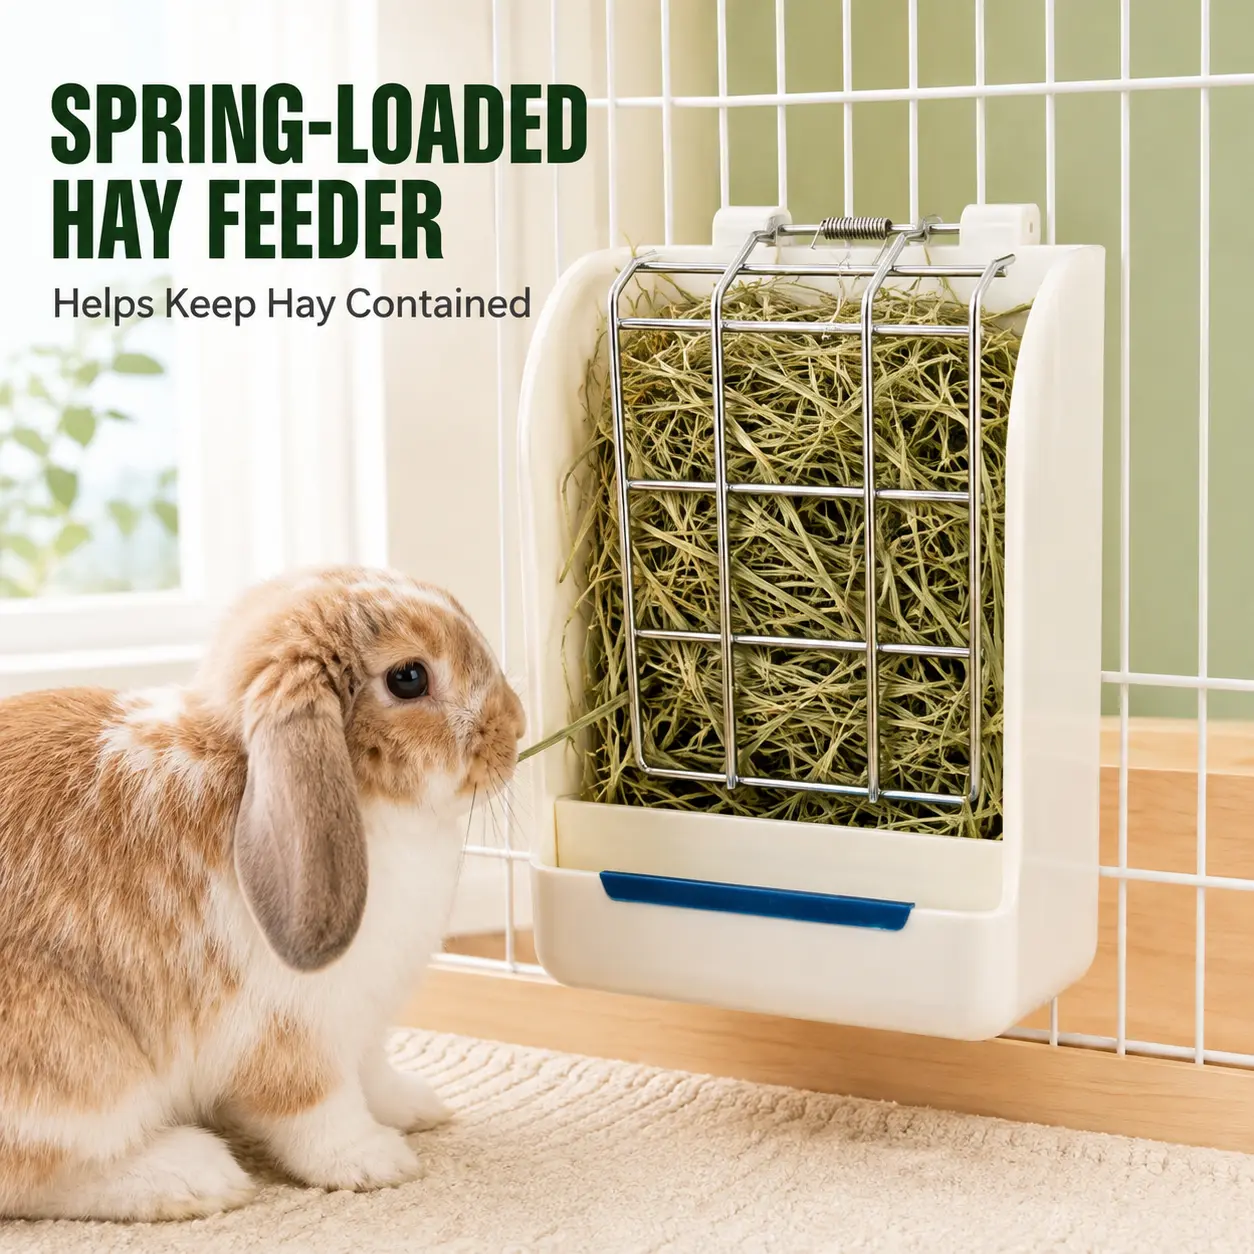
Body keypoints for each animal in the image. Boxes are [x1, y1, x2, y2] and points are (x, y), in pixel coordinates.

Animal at [0, 565, 525, 1221]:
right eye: (409, 677)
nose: (518, 727)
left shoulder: (363, 1024)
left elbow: (373, 1073)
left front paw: (417, 1106)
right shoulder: (289, 1036)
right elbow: (316, 1112)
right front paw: (378, 1161)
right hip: (73, 1058)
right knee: (40, 1173)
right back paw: (194, 1177)